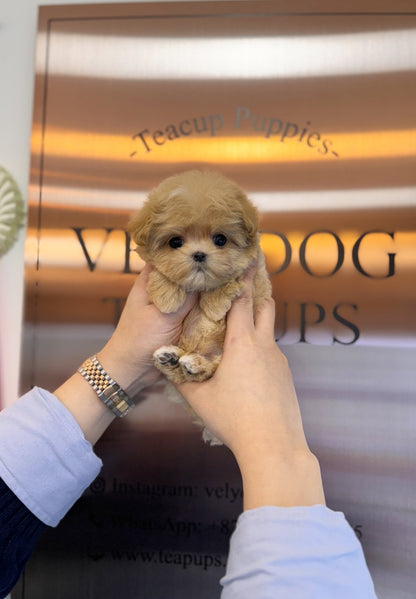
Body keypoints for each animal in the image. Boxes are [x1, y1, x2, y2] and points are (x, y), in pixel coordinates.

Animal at [128, 171, 272, 442]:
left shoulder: (254, 276)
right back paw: (170, 358)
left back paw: (195, 364)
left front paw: (213, 305)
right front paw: (167, 297)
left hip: (221, 359)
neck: (199, 286)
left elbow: (229, 279)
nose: (199, 254)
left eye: (220, 239)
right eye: (175, 242)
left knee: (209, 370)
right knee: (177, 374)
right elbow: (161, 275)